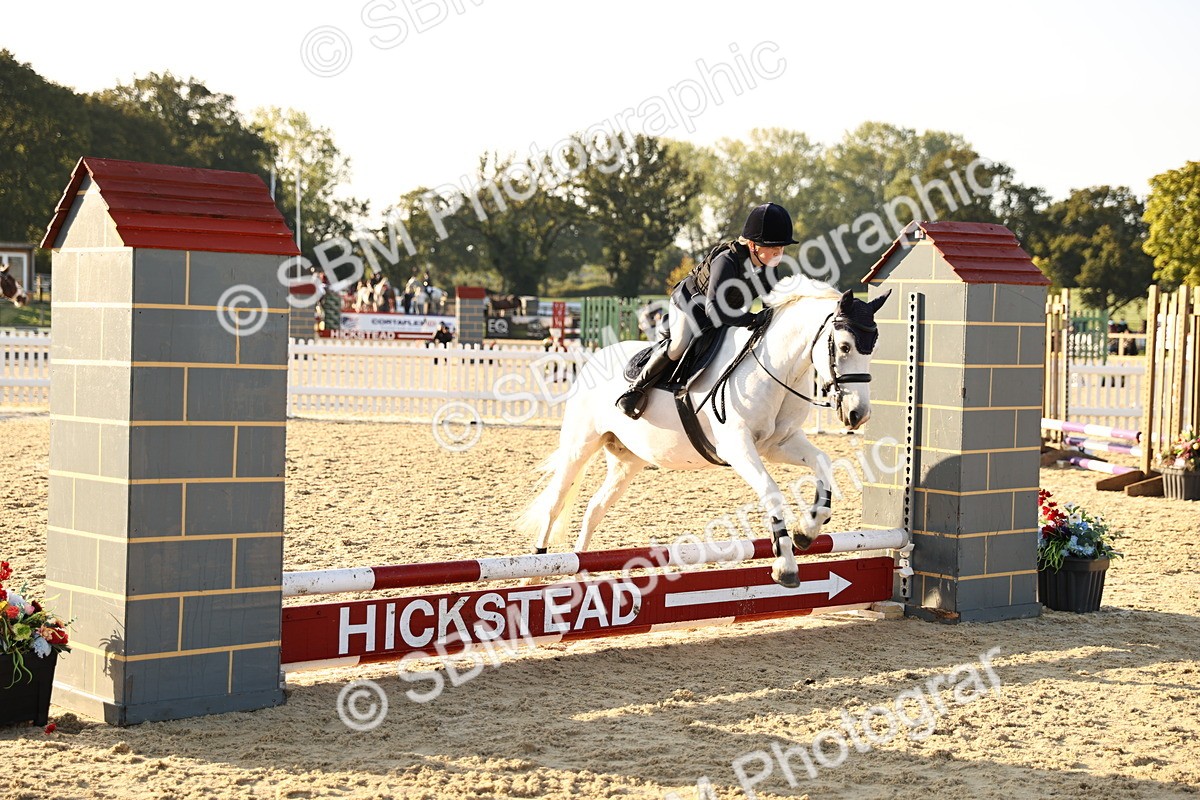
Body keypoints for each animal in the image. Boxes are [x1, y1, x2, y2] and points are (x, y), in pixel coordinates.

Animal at [516, 279, 889, 589]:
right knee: (554, 504)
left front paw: (806, 531)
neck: (775, 368)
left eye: (873, 348)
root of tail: (595, 358)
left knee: (594, 507)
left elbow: (823, 465)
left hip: (628, 460)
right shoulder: (737, 447)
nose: (859, 415)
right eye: (844, 346)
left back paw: (579, 573)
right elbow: (772, 492)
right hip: (580, 445)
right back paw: (537, 567)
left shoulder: (779, 444)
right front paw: (786, 566)